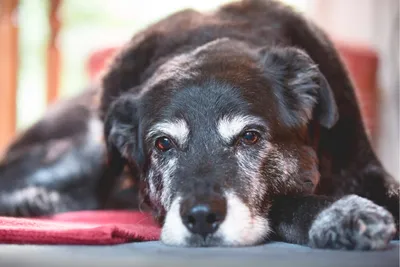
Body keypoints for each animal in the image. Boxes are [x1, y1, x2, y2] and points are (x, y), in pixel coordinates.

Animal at [0, 0, 400, 251]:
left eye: (250, 137)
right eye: (163, 144)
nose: (202, 218)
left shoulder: (363, 167)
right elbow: (285, 201)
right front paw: (342, 214)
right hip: (87, 150)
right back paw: (30, 201)